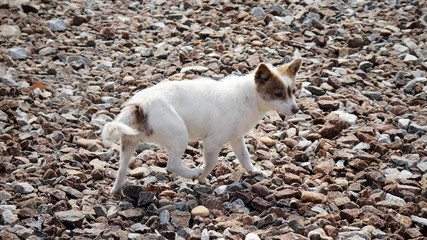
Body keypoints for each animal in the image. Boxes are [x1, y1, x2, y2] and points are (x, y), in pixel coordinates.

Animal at [102, 58, 302, 195]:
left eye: (293, 92)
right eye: (278, 94)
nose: (296, 109)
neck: (249, 97)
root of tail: (138, 105)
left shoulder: (236, 138)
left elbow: (244, 157)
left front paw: (253, 171)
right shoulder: (213, 142)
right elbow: (210, 163)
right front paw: (201, 178)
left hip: (129, 142)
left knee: (122, 168)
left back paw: (116, 190)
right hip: (179, 134)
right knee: (172, 165)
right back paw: (192, 172)